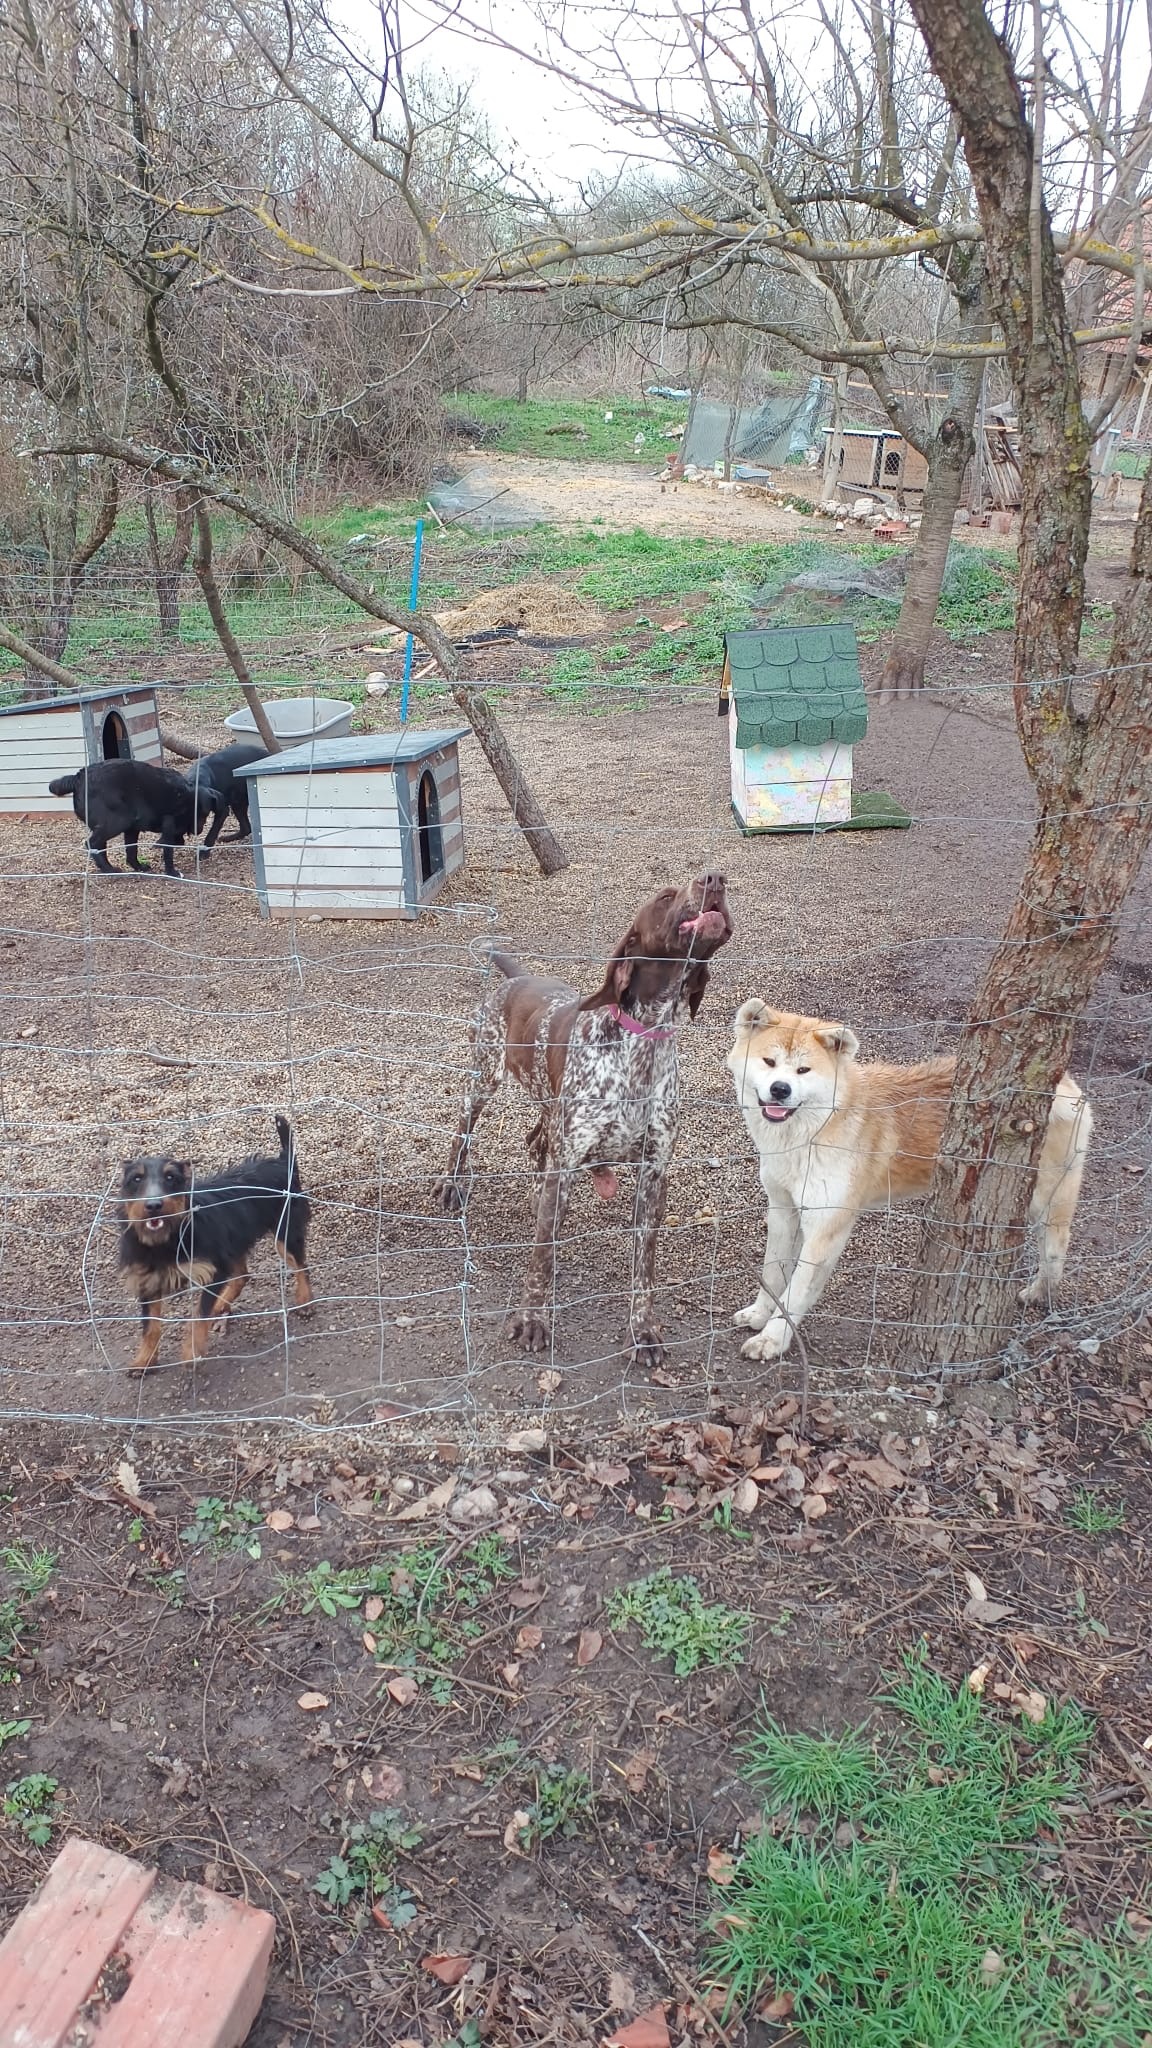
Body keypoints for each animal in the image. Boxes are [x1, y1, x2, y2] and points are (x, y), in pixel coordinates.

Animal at [49, 760, 220, 878]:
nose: (199, 829)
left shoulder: (133, 829)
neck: (188, 796)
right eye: (202, 814)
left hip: (120, 824)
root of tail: (78, 777)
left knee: (101, 846)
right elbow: (168, 851)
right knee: (92, 843)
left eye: (207, 813)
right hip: (118, 821)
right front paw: (172, 872)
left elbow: (132, 851)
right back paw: (109, 869)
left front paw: (139, 867)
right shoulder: (169, 826)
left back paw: (110, 868)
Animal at [118, 1115, 313, 1372]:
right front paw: (144, 1360)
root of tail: (282, 1161)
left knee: (300, 1265)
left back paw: (305, 1301)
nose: (153, 1205)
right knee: (242, 1275)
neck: (168, 1238)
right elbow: (150, 1326)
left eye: (171, 1177)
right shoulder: (148, 1281)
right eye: (136, 1179)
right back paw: (221, 1306)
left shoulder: (213, 1269)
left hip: (285, 1233)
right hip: (234, 1242)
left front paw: (191, 1352)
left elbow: (199, 1315)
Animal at [436, 875, 733, 1367]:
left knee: (535, 1142)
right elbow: (540, 1259)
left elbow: (644, 1268)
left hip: (548, 1107)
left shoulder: (653, 1175)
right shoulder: (569, 1156)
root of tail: (518, 978)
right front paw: (532, 1320)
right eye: (665, 897)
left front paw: (642, 1330)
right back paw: (451, 1184)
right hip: (482, 1080)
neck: (643, 1042)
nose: (716, 879)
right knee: (463, 1133)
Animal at [726, 1002, 1092, 1361]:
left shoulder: (826, 1229)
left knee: (1056, 1245)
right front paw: (760, 1314)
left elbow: (796, 1291)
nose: (780, 1089)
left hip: (1046, 1201)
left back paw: (1041, 1293)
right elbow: (773, 1271)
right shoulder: (783, 1209)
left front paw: (772, 1339)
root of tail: (1064, 1083)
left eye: (804, 1070)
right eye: (769, 1062)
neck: (817, 1129)